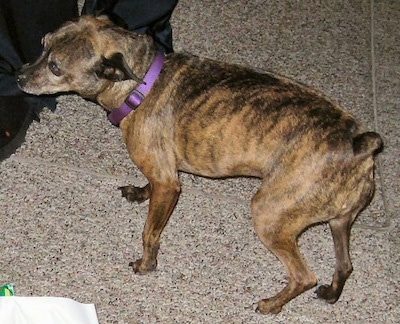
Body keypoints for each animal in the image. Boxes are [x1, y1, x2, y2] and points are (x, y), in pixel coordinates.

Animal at [17, 15, 382, 314]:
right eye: (42, 43)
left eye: (56, 68)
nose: (18, 77)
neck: (141, 83)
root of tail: (359, 145)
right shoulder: (165, 176)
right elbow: (152, 188)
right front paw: (140, 193)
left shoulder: (168, 185)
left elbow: (150, 233)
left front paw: (147, 265)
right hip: (338, 222)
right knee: (345, 265)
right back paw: (332, 294)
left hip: (269, 215)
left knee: (304, 275)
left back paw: (271, 305)